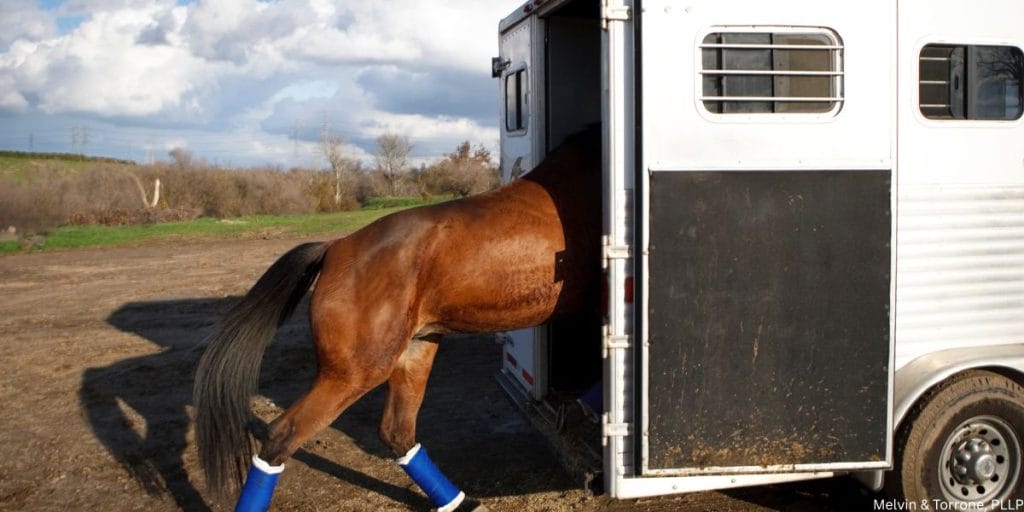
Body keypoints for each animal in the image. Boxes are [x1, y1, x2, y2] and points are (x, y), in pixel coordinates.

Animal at [193, 127, 602, 510]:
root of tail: (335, 248)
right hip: (355, 372)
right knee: (281, 436)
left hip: (414, 351)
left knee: (396, 433)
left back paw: (461, 501)